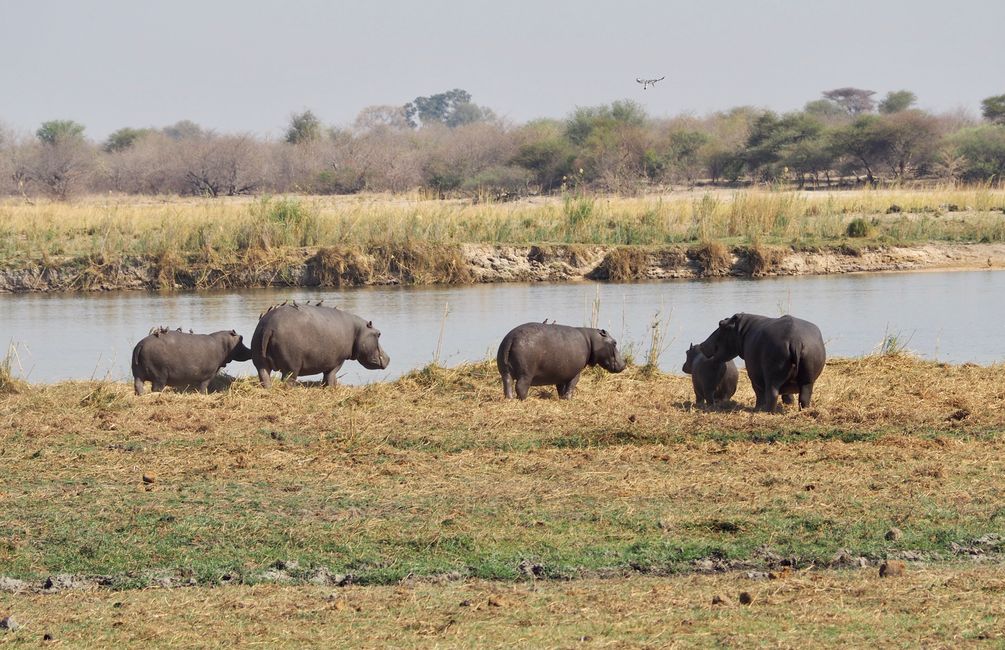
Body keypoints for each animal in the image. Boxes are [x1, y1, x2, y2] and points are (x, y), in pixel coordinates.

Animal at [250, 303, 387, 389]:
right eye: (379, 333)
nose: (388, 358)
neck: (358, 331)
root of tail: (269, 327)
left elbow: (327, 376)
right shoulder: (338, 360)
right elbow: (331, 374)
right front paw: (331, 387)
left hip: (259, 359)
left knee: (264, 375)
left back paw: (268, 389)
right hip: (291, 367)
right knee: (287, 381)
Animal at [496, 321, 627, 399]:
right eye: (614, 342)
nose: (624, 364)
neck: (591, 340)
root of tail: (511, 339)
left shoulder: (560, 373)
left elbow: (560, 387)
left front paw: (561, 398)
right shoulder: (575, 373)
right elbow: (571, 385)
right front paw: (568, 399)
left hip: (505, 371)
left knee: (507, 384)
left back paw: (510, 399)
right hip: (526, 373)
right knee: (521, 386)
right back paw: (523, 399)